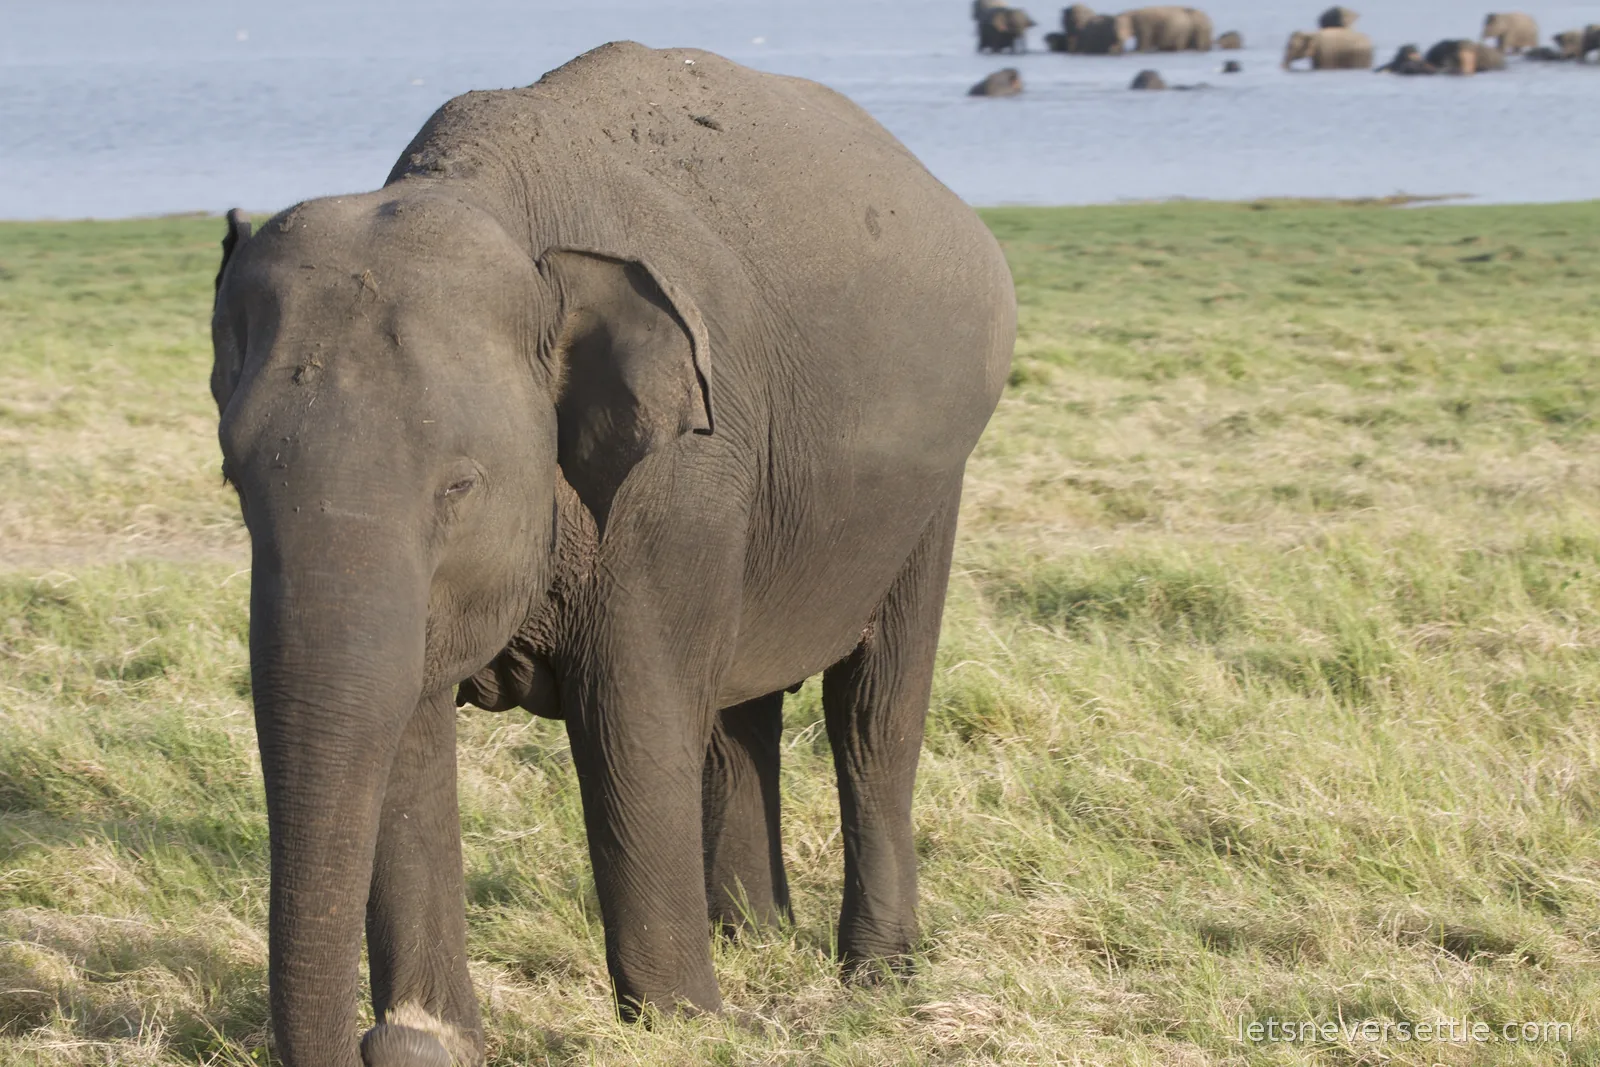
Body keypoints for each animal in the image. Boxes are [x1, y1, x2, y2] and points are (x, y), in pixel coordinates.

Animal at [209, 41, 1014, 1067]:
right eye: (234, 479)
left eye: (458, 486)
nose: (366, 1040)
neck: (492, 203)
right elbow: (408, 729)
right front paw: (435, 1041)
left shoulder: (679, 476)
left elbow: (635, 720)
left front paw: (684, 1026)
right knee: (739, 711)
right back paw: (750, 936)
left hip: (931, 482)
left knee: (873, 712)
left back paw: (873, 971)